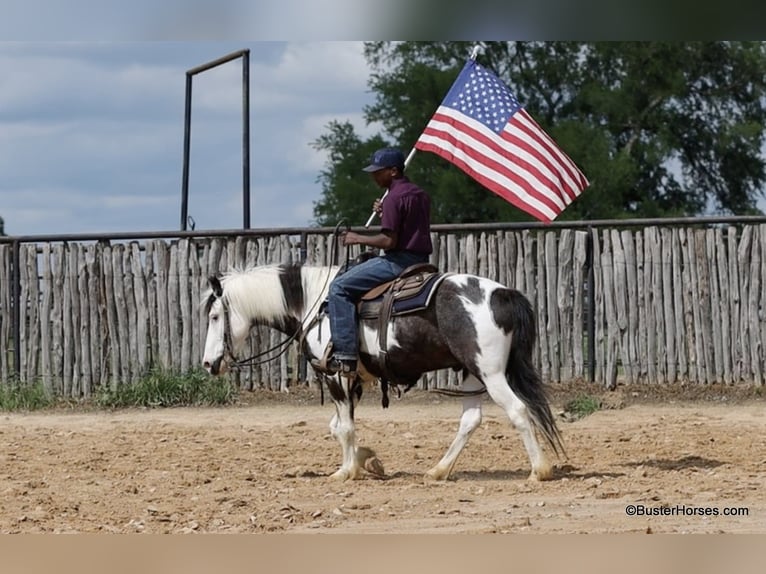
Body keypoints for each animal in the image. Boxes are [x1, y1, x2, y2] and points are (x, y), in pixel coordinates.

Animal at [201, 261, 564, 481]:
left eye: (215, 316)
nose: (207, 363)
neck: (315, 305)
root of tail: (503, 293)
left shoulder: (336, 376)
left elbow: (345, 427)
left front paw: (346, 471)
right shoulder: (357, 379)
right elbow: (337, 426)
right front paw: (368, 460)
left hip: (491, 373)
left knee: (518, 410)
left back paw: (539, 470)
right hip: (471, 373)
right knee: (471, 419)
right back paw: (438, 470)